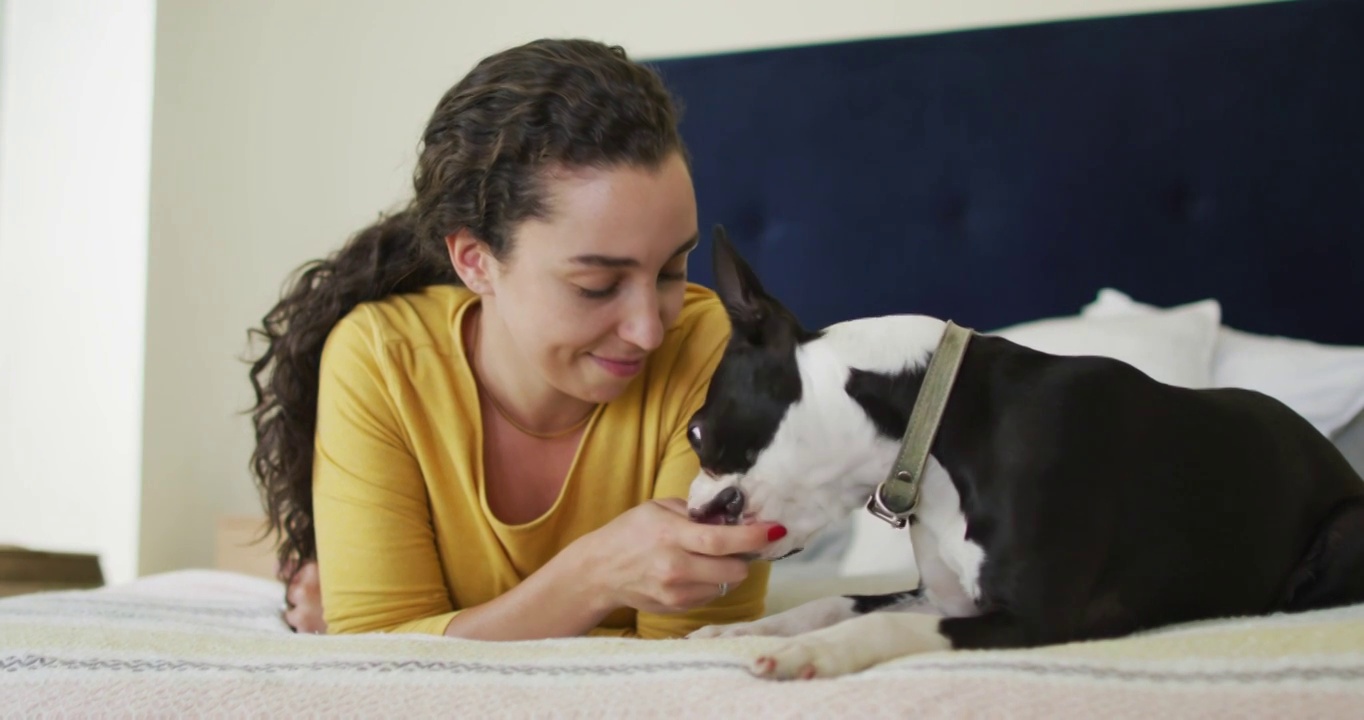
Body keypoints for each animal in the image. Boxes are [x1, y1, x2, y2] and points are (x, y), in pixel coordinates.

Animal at [687, 229, 1364, 681]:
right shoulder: (946, 597)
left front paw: (814, 653)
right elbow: (835, 601)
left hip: (1342, 531)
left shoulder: (1033, 618)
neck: (936, 425)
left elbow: (880, 621)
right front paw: (744, 629)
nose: (691, 510)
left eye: (695, 433)